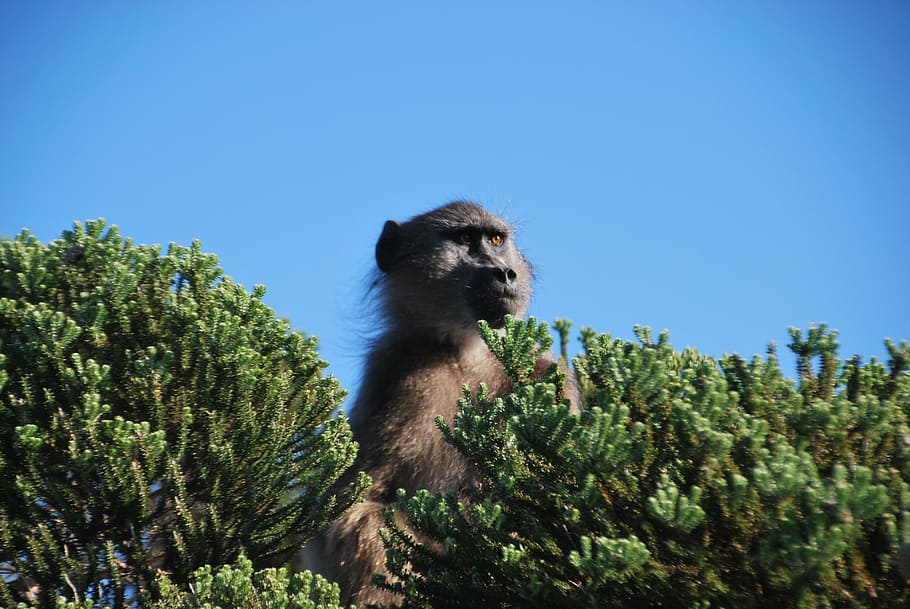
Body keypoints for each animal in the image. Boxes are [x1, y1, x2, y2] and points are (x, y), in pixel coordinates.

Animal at [304, 201, 579, 606]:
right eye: (464, 239)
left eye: (496, 240)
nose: (505, 272)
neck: (467, 354)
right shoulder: (396, 371)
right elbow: (346, 508)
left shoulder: (550, 378)